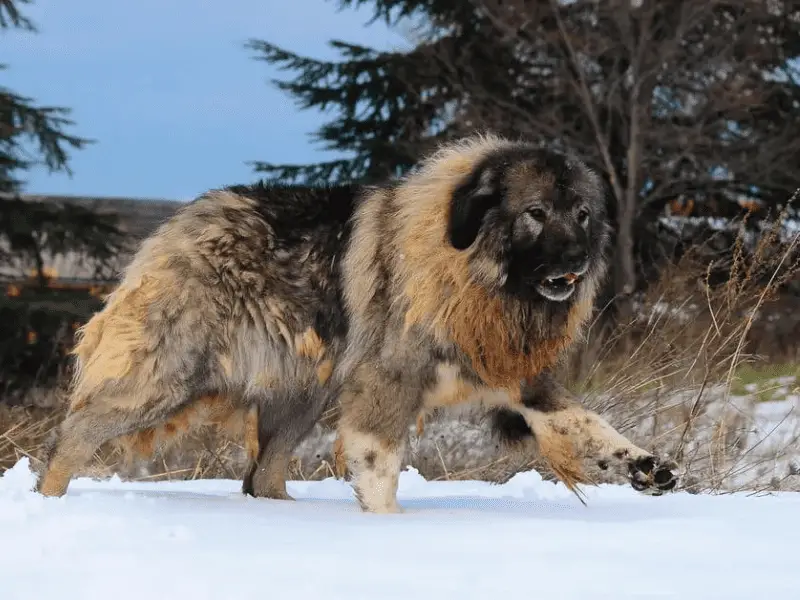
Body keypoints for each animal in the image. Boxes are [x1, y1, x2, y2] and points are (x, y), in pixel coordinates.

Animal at [36, 134, 676, 508]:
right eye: (536, 214)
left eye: (584, 214)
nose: (577, 262)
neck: (466, 267)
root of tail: (178, 224)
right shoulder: (386, 385)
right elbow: (380, 466)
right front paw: (386, 529)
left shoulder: (522, 381)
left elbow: (589, 427)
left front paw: (645, 467)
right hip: (168, 377)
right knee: (76, 432)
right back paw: (50, 501)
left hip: (303, 395)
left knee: (262, 476)